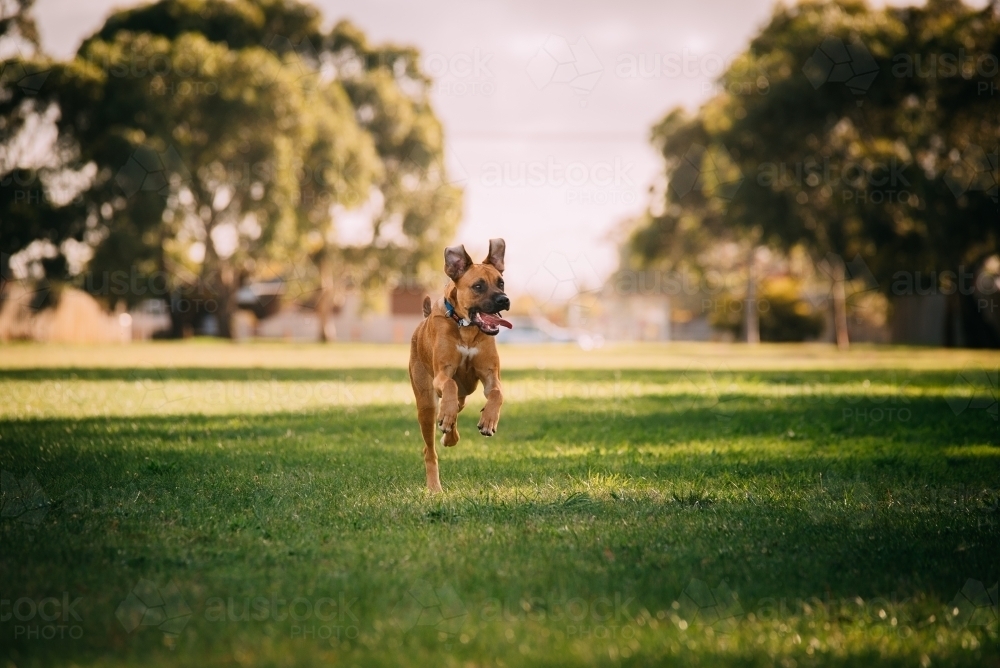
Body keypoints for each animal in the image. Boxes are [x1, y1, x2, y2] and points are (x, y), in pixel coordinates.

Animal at [408, 239, 512, 490]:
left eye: (501, 282)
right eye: (478, 286)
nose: (504, 300)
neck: (467, 328)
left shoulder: (491, 375)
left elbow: (497, 393)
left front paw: (488, 420)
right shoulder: (441, 375)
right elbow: (449, 384)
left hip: (464, 396)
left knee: (455, 409)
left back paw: (449, 434)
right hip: (425, 404)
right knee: (429, 449)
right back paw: (434, 487)